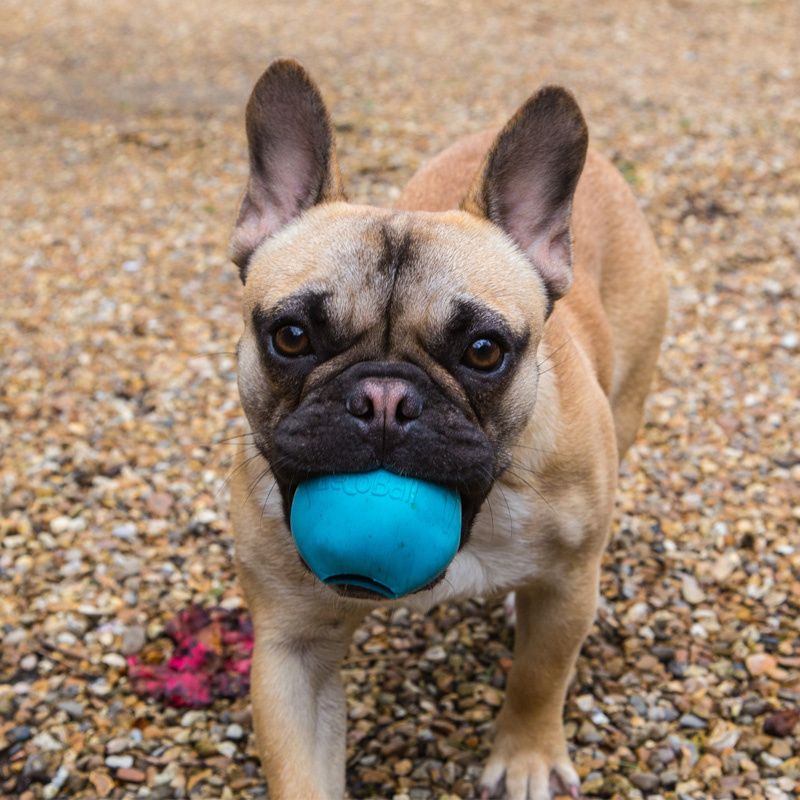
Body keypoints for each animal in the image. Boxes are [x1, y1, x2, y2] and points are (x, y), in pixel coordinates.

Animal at [227, 57, 668, 800]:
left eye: (484, 351)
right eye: (291, 336)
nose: (383, 398)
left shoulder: (568, 587)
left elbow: (539, 677)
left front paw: (525, 759)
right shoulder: (293, 647)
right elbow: (300, 768)